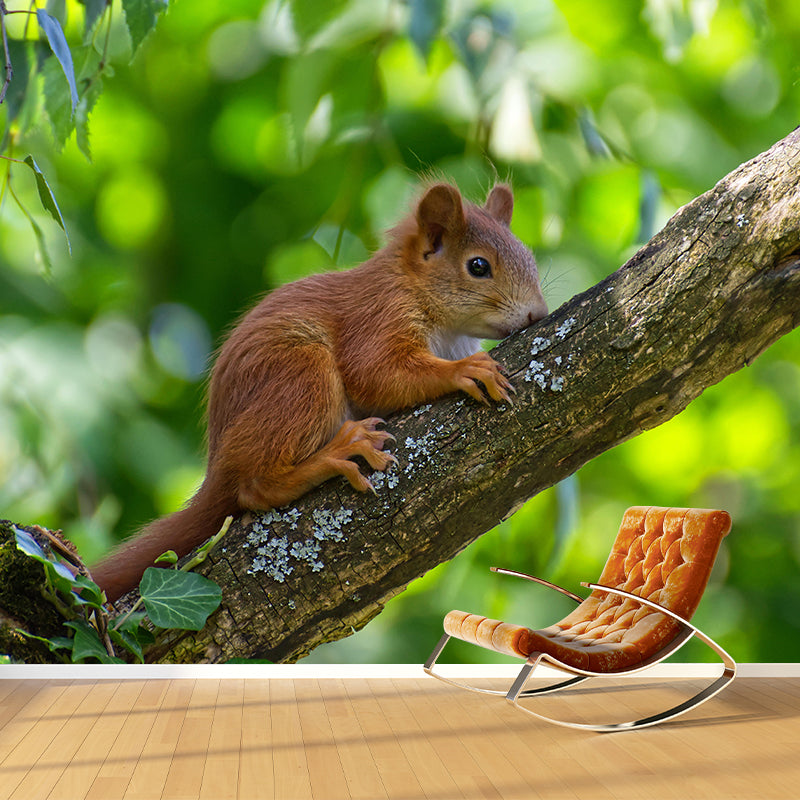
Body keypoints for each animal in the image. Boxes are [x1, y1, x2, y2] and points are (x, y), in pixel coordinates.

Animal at [90, 183, 548, 602]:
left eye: (529, 257)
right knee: (253, 487)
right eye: (478, 266)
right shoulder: (378, 316)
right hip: (302, 377)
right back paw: (337, 453)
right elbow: (377, 373)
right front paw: (464, 370)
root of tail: (216, 464)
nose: (538, 314)